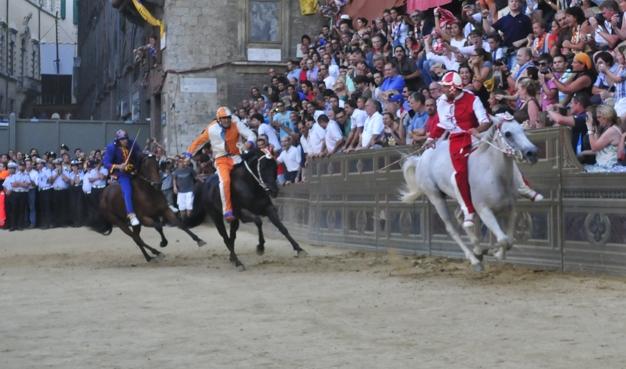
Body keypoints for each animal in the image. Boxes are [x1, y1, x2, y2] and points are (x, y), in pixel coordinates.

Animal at [400, 115, 536, 270]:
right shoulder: (484, 210)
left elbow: (509, 241)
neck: (494, 173)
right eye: (508, 134)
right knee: (452, 228)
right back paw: (474, 259)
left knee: (462, 218)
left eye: (522, 129)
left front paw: (494, 252)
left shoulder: (511, 209)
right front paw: (494, 252)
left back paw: (478, 250)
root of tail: (421, 159)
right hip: (436, 198)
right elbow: (503, 239)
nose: (532, 152)